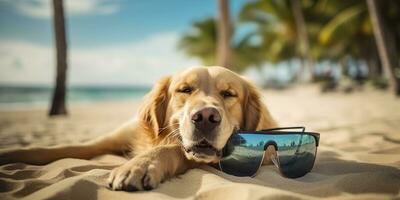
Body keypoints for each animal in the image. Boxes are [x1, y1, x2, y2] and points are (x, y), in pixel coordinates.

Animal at [0, 65, 276, 191]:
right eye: (185, 90)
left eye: (229, 94)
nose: (206, 116)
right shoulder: (113, 138)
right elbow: (65, 147)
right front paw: (11, 154)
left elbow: (172, 150)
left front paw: (139, 165)